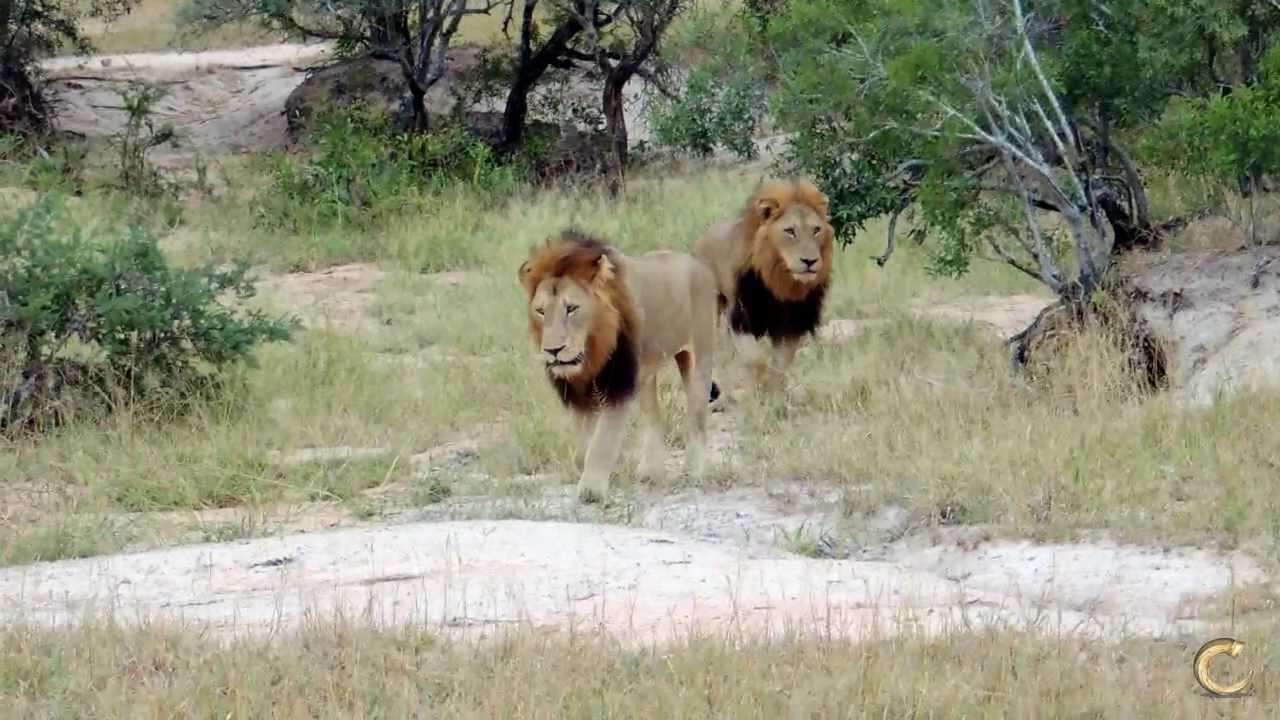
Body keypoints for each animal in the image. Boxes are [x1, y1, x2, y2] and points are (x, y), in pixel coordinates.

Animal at [518, 228, 720, 504]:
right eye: (540, 311)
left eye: (571, 308)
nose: (553, 351)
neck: (593, 350)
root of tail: (700, 265)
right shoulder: (581, 393)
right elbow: (587, 441)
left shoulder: (618, 384)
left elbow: (602, 441)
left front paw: (591, 491)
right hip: (645, 373)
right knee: (654, 417)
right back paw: (650, 472)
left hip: (699, 356)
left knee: (697, 416)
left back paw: (693, 471)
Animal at [693, 177, 834, 400]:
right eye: (790, 231)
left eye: (816, 230)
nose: (810, 261)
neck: (781, 283)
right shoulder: (741, 318)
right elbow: (755, 360)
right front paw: (760, 389)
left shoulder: (792, 324)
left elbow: (781, 365)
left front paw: (775, 395)